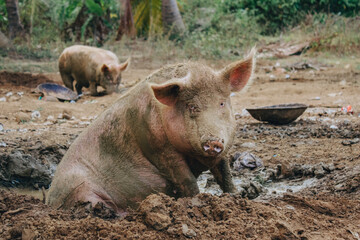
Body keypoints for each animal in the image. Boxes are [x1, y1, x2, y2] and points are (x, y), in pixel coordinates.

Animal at [47, 47, 256, 215]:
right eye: (192, 107)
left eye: (222, 103)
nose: (213, 142)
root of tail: (49, 197)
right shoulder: (158, 148)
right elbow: (187, 180)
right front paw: (197, 203)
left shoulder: (223, 150)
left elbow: (225, 175)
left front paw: (237, 198)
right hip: (78, 189)